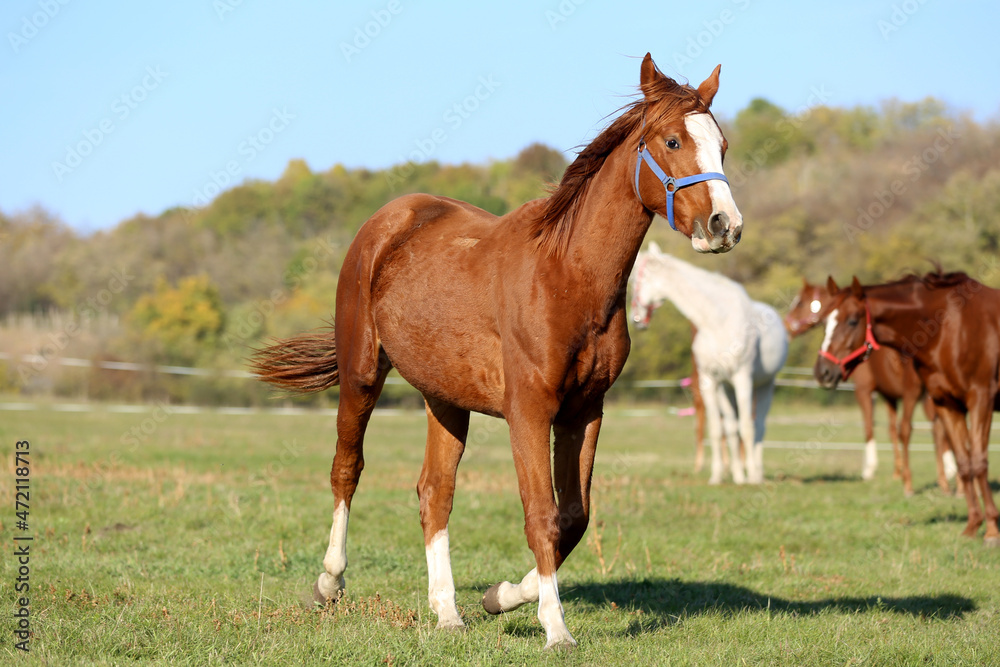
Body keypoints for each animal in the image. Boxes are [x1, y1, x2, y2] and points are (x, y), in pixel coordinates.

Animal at [250, 54, 744, 648]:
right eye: (673, 141)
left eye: (722, 145)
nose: (725, 225)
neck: (567, 275)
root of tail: (388, 220)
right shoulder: (528, 411)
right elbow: (540, 513)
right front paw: (555, 627)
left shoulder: (584, 411)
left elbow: (572, 518)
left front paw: (501, 596)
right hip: (362, 375)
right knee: (347, 469)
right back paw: (330, 582)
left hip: (445, 400)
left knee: (435, 492)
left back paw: (448, 612)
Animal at [632, 243, 788, 482]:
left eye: (637, 280)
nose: (637, 320)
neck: (717, 321)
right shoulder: (710, 381)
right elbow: (717, 429)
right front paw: (717, 477)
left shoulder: (742, 378)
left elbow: (747, 428)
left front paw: (751, 476)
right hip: (727, 388)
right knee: (731, 427)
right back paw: (738, 474)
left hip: (764, 385)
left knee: (758, 426)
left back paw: (756, 474)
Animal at [784, 278, 956, 496]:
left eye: (799, 303)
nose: (786, 326)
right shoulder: (889, 396)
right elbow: (892, 430)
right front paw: (897, 472)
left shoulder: (865, 390)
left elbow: (869, 426)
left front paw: (869, 469)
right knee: (938, 428)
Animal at [812, 272, 1000, 548]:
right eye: (824, 321)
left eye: (852, 320)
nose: (822, 372)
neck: (950, 328)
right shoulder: (946, 403)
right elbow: (964, 463)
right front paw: (972, 526)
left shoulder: (980, 400)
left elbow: (979, 462)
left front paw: (992, 531)